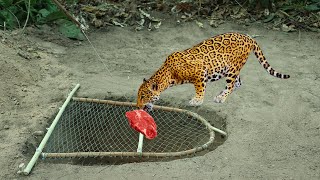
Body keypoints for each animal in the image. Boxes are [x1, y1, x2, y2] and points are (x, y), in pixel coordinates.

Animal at [136, 32, 292, 109]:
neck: (168, 75)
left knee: (231, 84)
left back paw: (221, 97)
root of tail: (248, 37)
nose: (138, 106)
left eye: (143, 96)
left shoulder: (200, 72)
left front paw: (197, 100)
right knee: (238, 83)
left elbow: (200, 88)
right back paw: (221, 94)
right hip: (229, 69)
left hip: (232, 69)